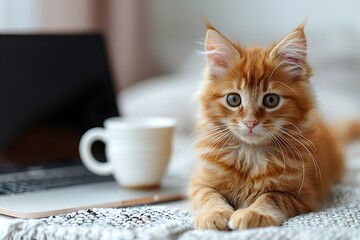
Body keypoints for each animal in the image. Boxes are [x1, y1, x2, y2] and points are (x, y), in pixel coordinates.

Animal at [188, 23, 360, 231]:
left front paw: (253, 213)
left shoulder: (303, 195)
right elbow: (209, 196)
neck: (250, 154)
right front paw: (214, 214)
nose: (250, 122)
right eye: (233, 99)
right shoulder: (200, 182)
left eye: (271, 100)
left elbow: (271, 197)